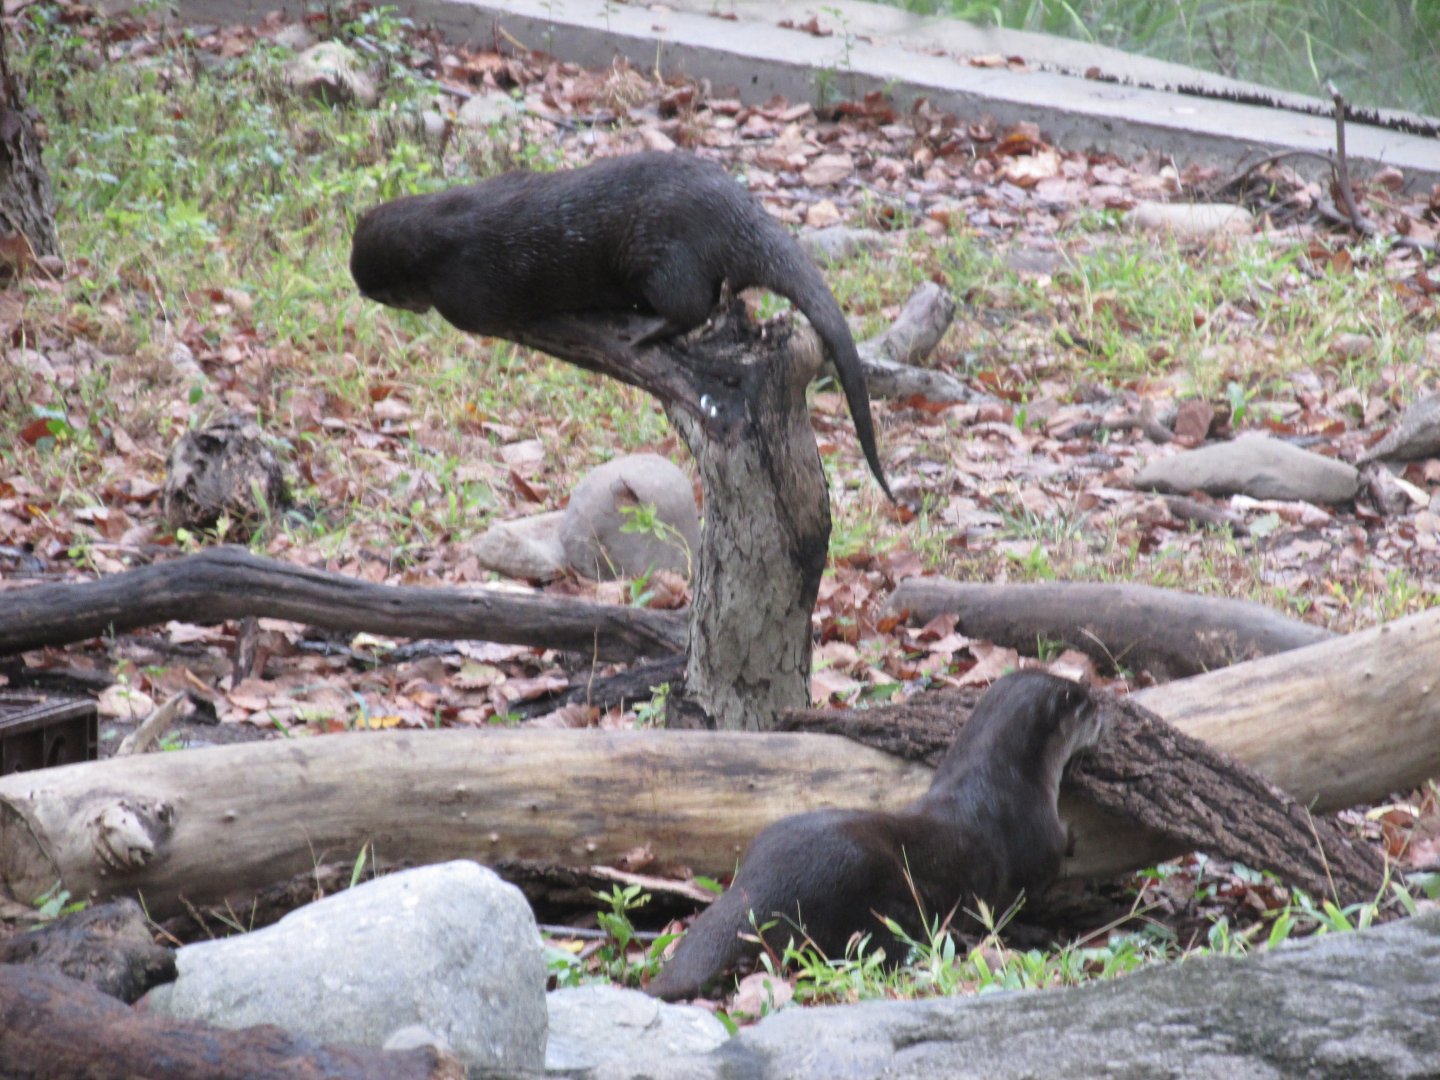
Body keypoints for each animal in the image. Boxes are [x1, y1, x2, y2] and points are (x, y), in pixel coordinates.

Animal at [349, 151, 891, 499]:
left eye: (382, 292)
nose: (359, 285)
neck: (444, 230)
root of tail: (738, 212)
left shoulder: (464, 292)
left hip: (664, 256)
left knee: (691, 305)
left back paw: (645, 328)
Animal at [646, 670, 1102, 1000]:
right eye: (1085, 703)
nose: (1103, 709)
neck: (1008, 783)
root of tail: (760, 884)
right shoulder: (1038, 839)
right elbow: (1034, 881)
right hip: (874, 897)